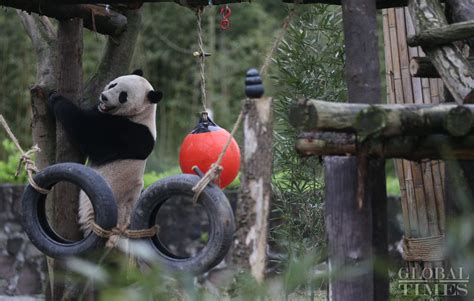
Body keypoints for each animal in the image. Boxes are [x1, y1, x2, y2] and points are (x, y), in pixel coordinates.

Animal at [48, 70, 163, 246]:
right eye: (113, 84)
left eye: (123, 96)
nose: (104, 97)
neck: (142, 114)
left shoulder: (132, 134)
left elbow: (90, 134)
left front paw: (56, 99)